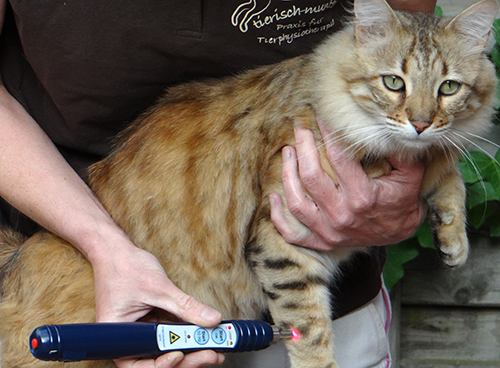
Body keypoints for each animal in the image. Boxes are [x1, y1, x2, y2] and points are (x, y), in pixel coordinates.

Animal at [0, 0, 500, 368]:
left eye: (449, 88)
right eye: (394, 82)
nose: (420, 122)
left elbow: (447, 168)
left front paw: (452, 234)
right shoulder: (283, 240)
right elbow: (310, 330)